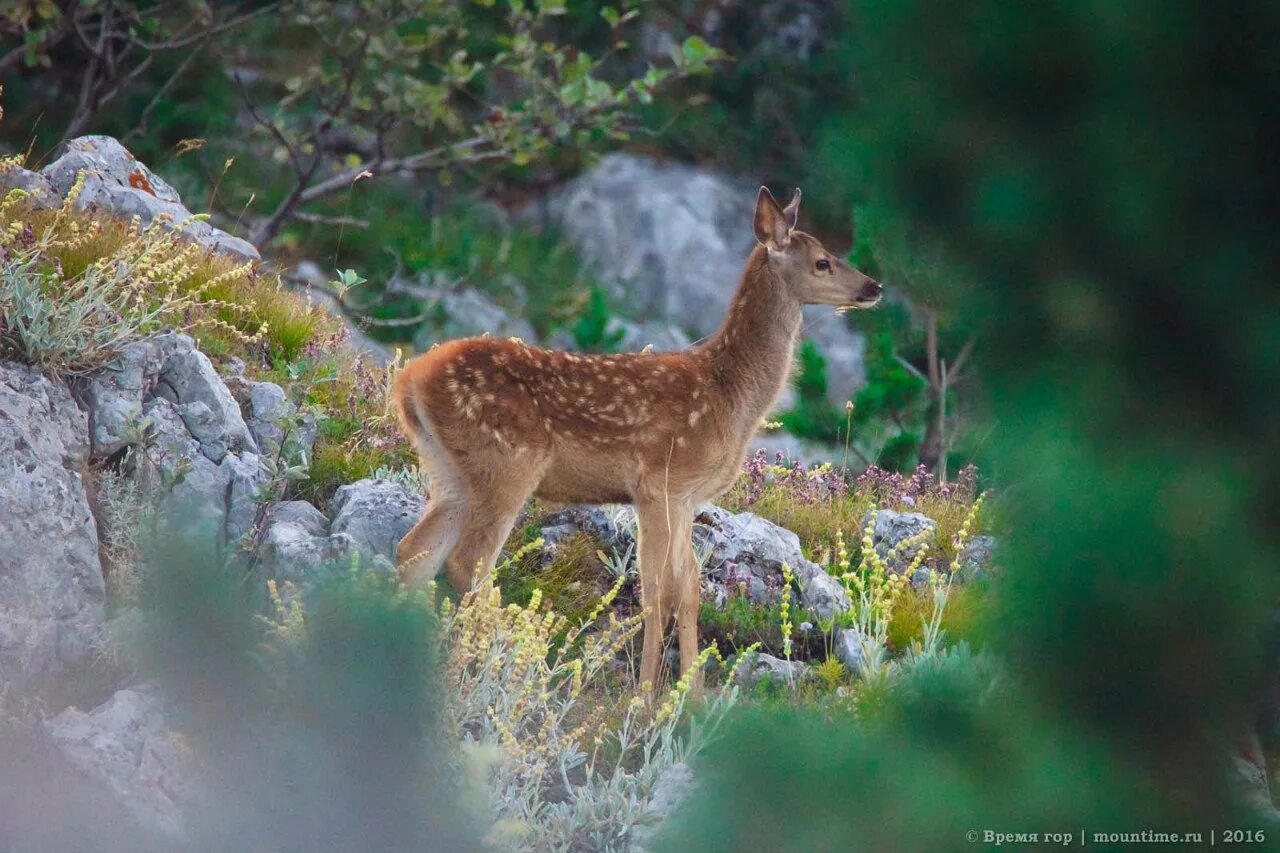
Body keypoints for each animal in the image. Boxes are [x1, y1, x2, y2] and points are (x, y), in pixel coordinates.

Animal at [394, 184, 885, 686]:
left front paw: (690, 692)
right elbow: (657, 593)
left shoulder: (687, 497)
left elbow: (688, 590)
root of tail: (410, 378)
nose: (874, 287)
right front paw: (649, 692)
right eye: (823, 261)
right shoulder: (658, 483)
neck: (729, 395)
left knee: (413, 553)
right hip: (505, 463)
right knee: (466, 562)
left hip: (449, 470)